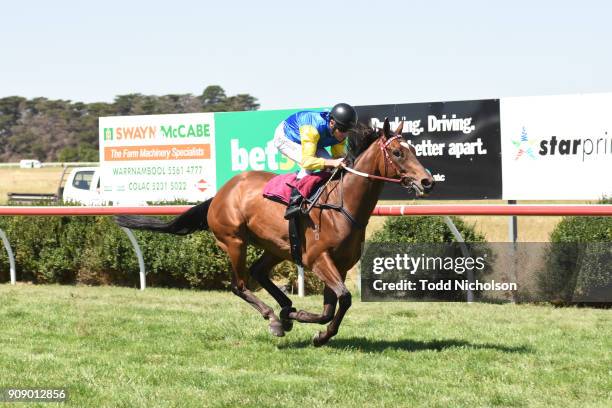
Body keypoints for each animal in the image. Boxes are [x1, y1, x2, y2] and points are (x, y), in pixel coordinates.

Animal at [116, 118, 436, 348]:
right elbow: (343, 299)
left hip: (276, 247)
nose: (427, 181)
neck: (342, 204)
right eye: (398, 152)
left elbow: (333, 305)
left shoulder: (341, 265)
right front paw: (309, 326)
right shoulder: (318, 259)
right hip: (234, 241)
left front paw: (310, 326)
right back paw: (273, 317)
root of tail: (221, 193)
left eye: (414, 150)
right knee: (240, 285)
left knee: (259, 272)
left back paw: (284, 312)